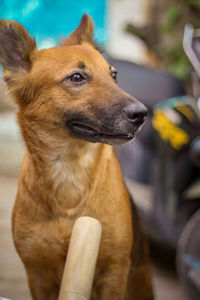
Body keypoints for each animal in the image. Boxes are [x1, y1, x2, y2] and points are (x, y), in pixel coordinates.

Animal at [0, 14, 153, 300]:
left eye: (114, 74)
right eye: (77, 77)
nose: (142, 114)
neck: (69, 172)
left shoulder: (114, 272)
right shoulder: (37, 273)